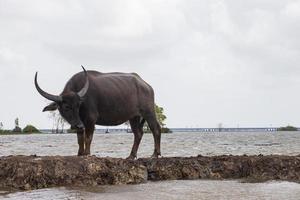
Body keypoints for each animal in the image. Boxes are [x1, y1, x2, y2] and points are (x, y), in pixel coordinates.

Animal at [34, 67, 162, 159]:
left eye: (78, 105)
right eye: (66, 107)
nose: (78, 125)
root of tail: (146, 85)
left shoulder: (90, 119)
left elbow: (88, 137)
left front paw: (86, 153)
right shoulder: (80, 122)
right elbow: (80, 138)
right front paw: (80, 153)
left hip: (149, 112)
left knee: (155, 129)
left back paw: (155, 154)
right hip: (134, 117)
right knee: (138, 133)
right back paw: (131, 156)